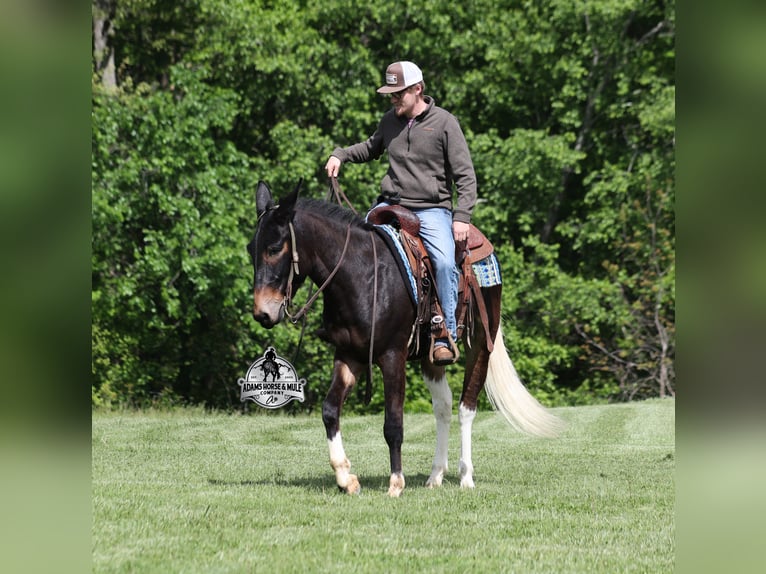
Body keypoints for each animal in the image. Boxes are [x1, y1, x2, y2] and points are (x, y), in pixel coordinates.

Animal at [248, 180, 563, 497]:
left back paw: (465, 476)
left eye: (274, 248)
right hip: (431, 358)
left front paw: (396, 482)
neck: (362, 275)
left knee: (466, 407)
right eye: (251, 249)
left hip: (480, 346)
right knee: (444, 406)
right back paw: (435, 475)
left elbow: (393, 424)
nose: (262, 313)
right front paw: (346, 477)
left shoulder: (392, 356)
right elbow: (330, 411)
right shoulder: (349, 355)